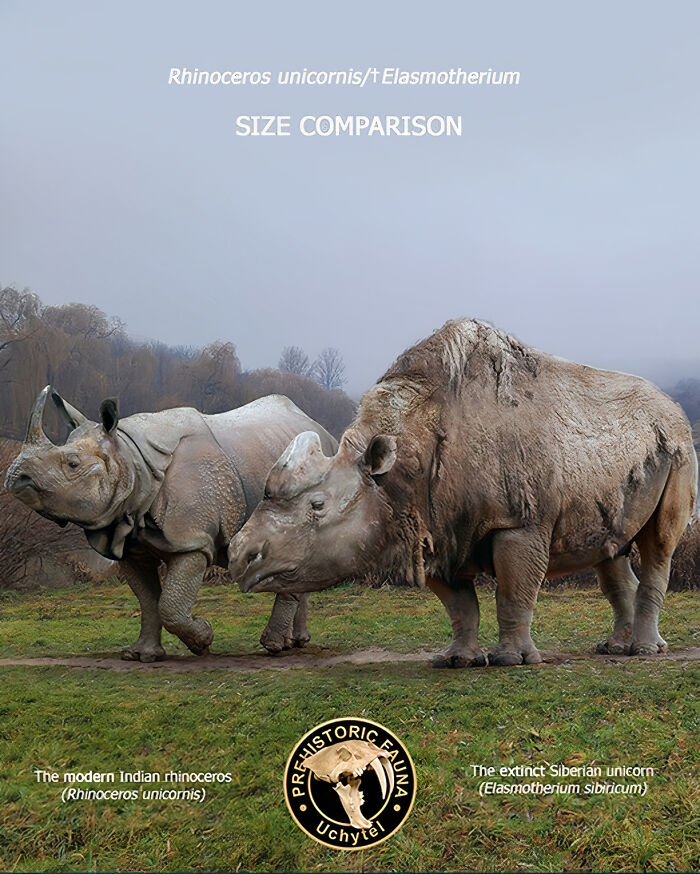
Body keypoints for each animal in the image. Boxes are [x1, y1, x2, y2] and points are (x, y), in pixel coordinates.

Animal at [5, 388, 337, 661]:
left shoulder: (192, 541)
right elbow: (149, 600)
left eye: (72, 464)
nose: (15, 477)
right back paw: (296, 643)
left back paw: (275, 647)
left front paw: (203, 640)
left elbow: (171, 605)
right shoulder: (130, 542)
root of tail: (326, 431)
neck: (131, 460)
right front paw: (141, 655)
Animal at [229, 319, 697, 666]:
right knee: (609, 550)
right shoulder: (432, 522)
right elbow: (459, 605)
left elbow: (513, 591)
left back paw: (643, 653)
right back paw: (615, 649)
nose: (238, 557)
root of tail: (672, 406)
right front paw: (455, 660)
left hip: (678, 447)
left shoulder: (518, 521)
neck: (396, 468)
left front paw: (511, 661)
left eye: (318, 506)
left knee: (659, 544)